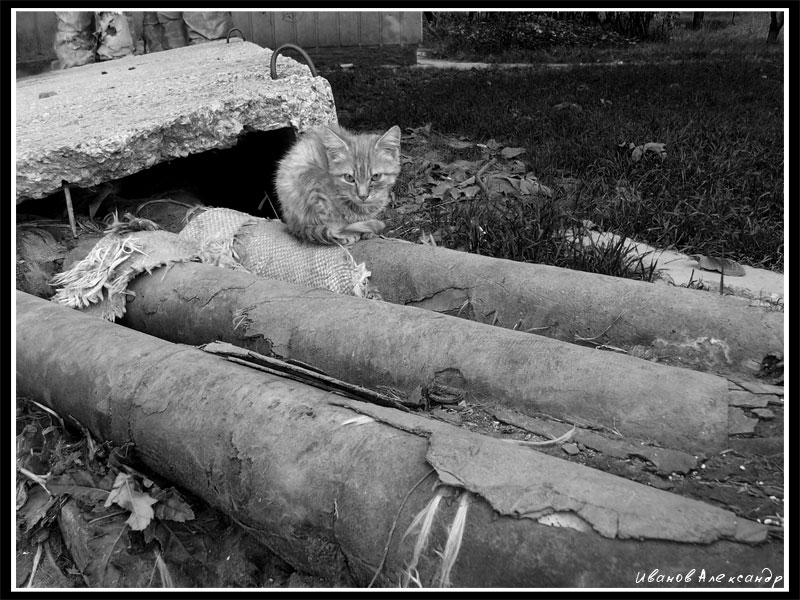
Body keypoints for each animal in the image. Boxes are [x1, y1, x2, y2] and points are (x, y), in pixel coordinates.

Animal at [276, 123, 404, 245]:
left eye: (376, 176)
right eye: (349, 178)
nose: (362, 196)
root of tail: (291, 224)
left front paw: (367, 231)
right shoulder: (314, 187)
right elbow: (330, 222)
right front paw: (345, 234)